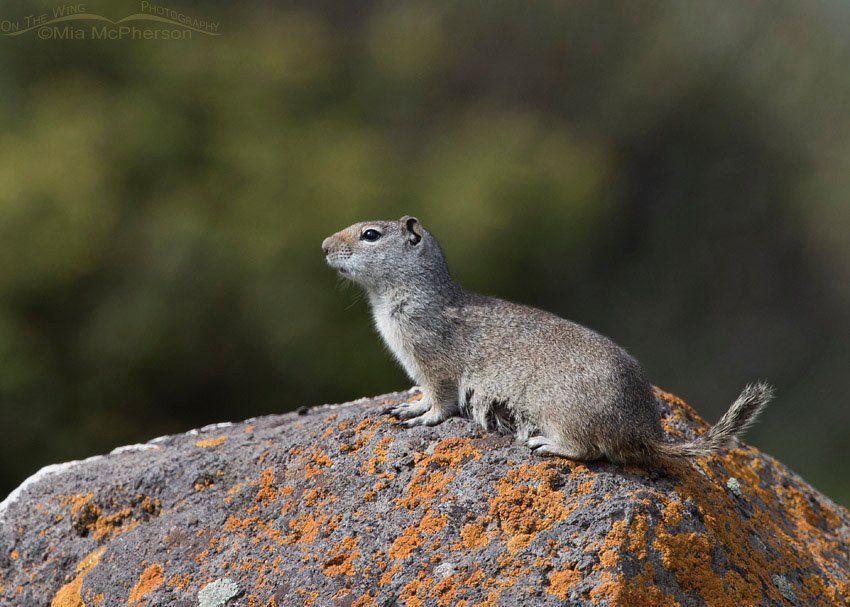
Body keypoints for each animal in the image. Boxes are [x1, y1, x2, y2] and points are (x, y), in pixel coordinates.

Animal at [321, 215, 773, 464]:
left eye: (370, 235)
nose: (324, 245)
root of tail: (644, 434)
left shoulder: (435, 366)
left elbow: (441, 403)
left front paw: (421, 417)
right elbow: (423, 395)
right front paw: (407, 406)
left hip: (560, 412)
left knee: (589, 450)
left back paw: (545, 444)